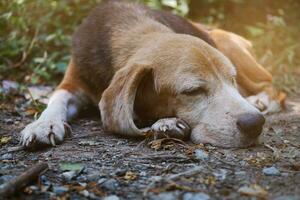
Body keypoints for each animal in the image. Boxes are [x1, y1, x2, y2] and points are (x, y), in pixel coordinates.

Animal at [19, 1, 284, 148]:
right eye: (193, 91)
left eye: (231, 80)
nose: (256, 123)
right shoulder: (71, 83)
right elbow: (56, 100)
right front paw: (43, 124)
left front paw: (166, 123)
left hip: (226, 43)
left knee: (273, 86)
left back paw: (261, 100)